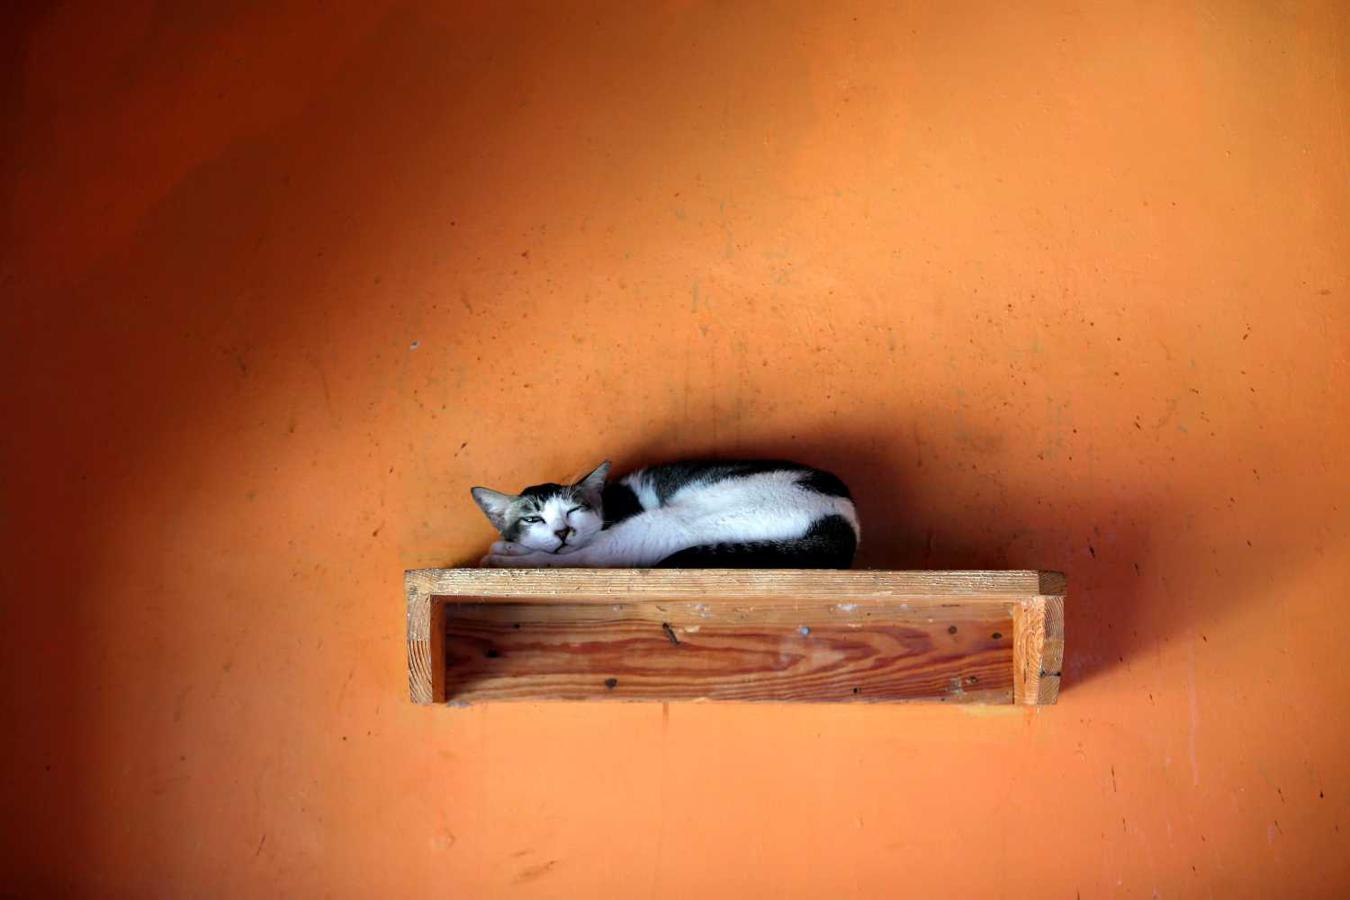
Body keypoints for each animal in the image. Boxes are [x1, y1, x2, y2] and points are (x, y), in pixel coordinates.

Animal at [469, 461, 858, 566]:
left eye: (574, 510)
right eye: (533, 519)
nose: (562, 532)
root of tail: (844, 523)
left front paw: (512, 548)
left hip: (667, 523)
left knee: (589, 558)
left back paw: (506, 555)